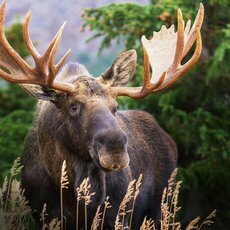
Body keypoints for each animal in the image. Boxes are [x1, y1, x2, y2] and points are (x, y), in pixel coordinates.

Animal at [0, 0, 204, 228]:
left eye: (115, 106)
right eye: (73, 106)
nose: (115, 148)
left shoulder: (116, 215)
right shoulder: (45, 215)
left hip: (161, 206)